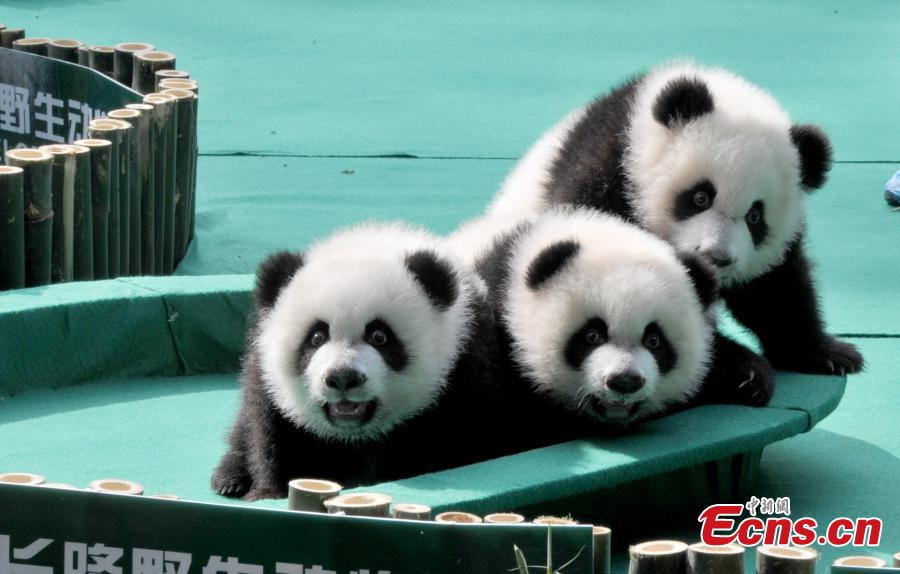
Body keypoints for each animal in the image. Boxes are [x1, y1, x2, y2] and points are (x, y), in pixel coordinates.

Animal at [212, 222, 496, 500]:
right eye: (316, 336)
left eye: (379, 336)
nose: (343, 378)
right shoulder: (263, 373)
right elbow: (272, 434)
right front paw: (268, 492)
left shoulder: (464, 375)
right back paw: (230, 478)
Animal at [484, 61, 863, 396]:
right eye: (700, 196)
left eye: (755, 216)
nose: (716, 257)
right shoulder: (604, 176)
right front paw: (744, 370)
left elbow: (776, 286)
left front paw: (826, 353)